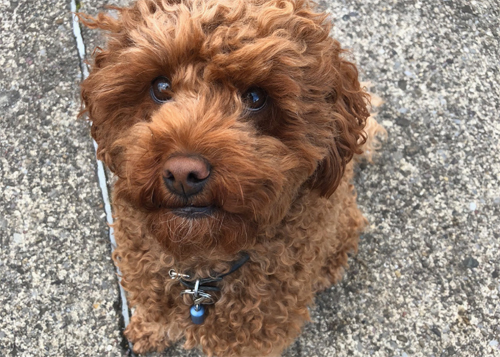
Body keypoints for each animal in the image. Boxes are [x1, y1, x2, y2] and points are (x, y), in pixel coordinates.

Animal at [78, 0, 384, 354]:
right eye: (160, 86)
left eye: (255, 97)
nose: (183, 172)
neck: (200, 273)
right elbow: (155, 313)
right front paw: (147, 331)